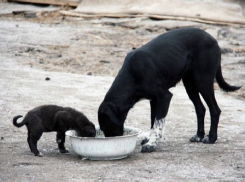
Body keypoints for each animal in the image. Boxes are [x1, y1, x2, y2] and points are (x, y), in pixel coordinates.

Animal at [98, 27, 241, 153]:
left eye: (108, 125)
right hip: (189, 84)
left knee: (215, 110)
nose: (111, 143)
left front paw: (151, 144)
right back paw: (199, 136)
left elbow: (158, 123)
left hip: (203, 82)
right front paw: (150, 139)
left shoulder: (164, 97)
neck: (132, 75)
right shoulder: (154, 100)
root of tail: (213, 40)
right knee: (200, 109)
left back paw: (211, 138)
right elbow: (153, 122)